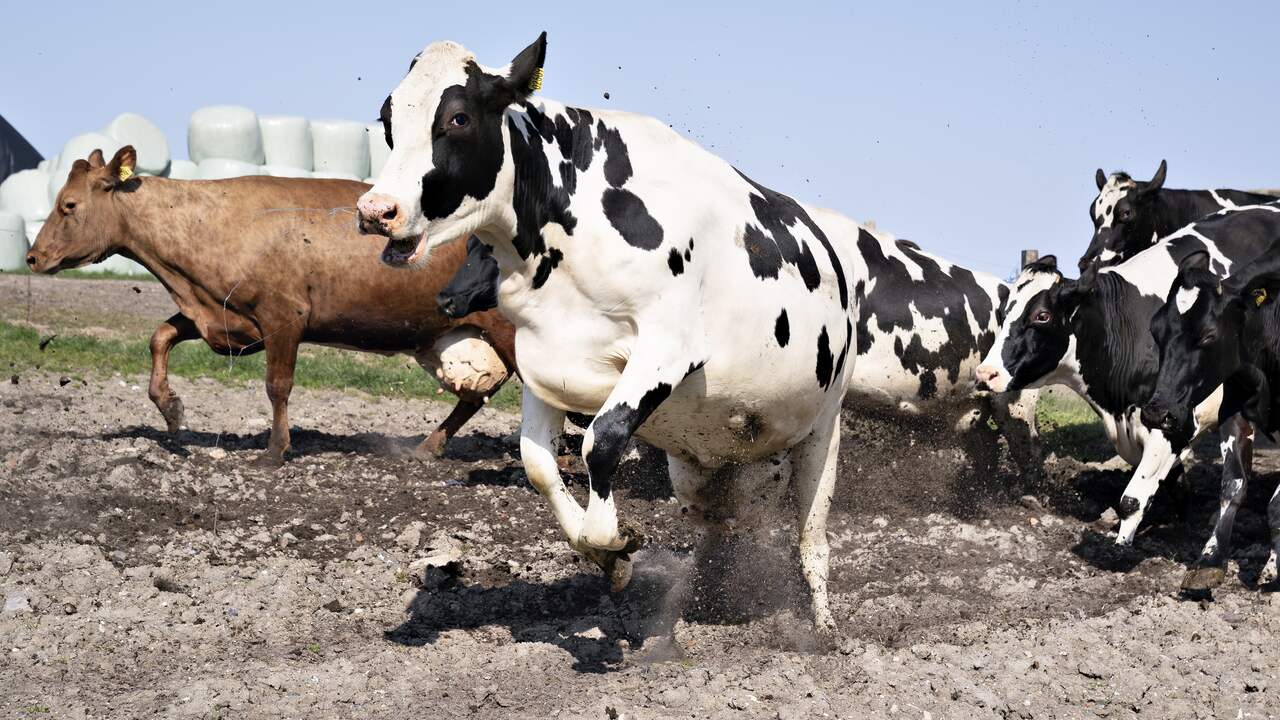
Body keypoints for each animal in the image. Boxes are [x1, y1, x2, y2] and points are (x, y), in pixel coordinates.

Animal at [26, 147, 517, 465]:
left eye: (68, 204)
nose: (32, 257)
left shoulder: (284, 317)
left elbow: (277, 385)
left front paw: (275, 451)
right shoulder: (217, 313)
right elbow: (160, 337)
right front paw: (170, 409)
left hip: (509, 330)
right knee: (475, 395)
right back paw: (427, 448)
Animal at [356, 34, 863, 634]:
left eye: (457, 117)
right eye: (388, 117)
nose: (376, 210)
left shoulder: (667, 350)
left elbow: (601, 441)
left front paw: (618, 540)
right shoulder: (544, 362)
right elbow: (538, 465)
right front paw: (609, 559)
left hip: (822, 430)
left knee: (812, 538)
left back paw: (824, 631)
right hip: (703, 464)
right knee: (721, 526)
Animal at [973, 200, 1280, 548]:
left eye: (1042, 315)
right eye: (1003, 311)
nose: (986, 373)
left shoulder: (1172, 424)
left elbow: (1132, 500)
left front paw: (1120, 548)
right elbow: (1175, 487)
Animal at [1141, 246, 1280, 591]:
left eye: (1208, 335)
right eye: (1155, 331)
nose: (1156, 411)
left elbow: (1276, 504)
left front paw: (1274, 567)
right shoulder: (1234, 412)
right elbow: (1232, 485)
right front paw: (1210, 559)